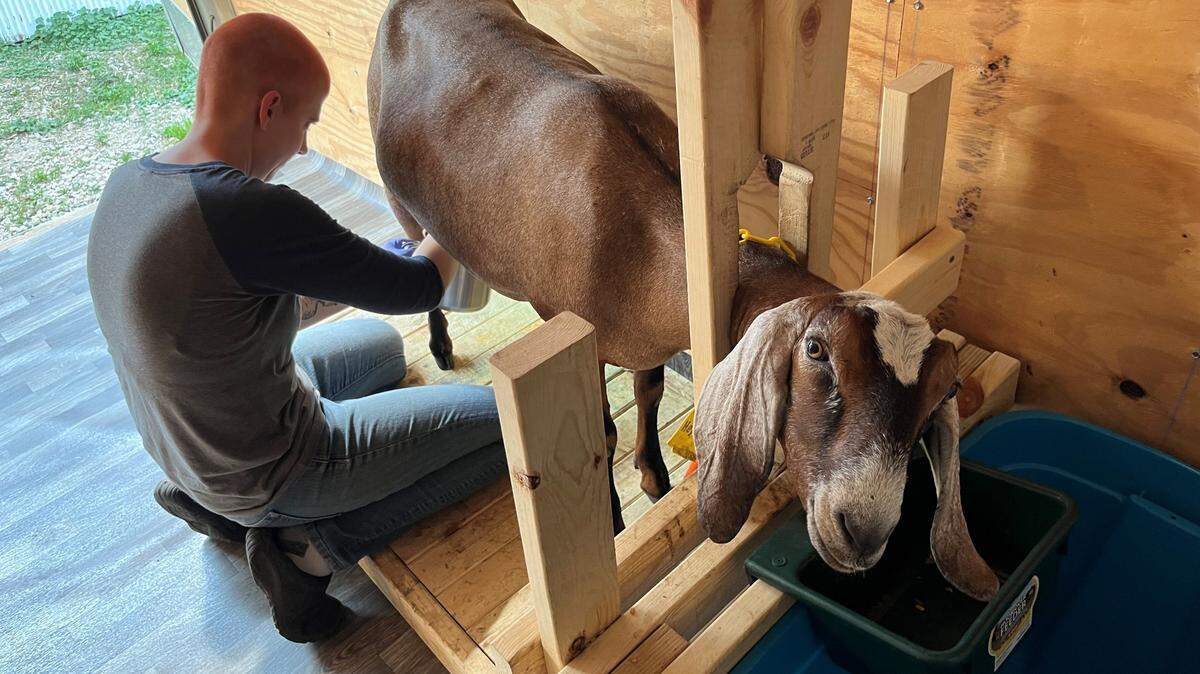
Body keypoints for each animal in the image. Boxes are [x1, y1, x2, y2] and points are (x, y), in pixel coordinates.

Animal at [367, 0, 998, 600]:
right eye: (817, 350)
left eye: (944, 395)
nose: (863, 531)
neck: (643, 239)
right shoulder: (574, 328)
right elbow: (598, 437)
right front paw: (615, 523)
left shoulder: (645, 340)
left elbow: (648, 389)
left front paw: (654, 477)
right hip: (402, 201)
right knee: (420, 266)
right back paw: (440, 346)